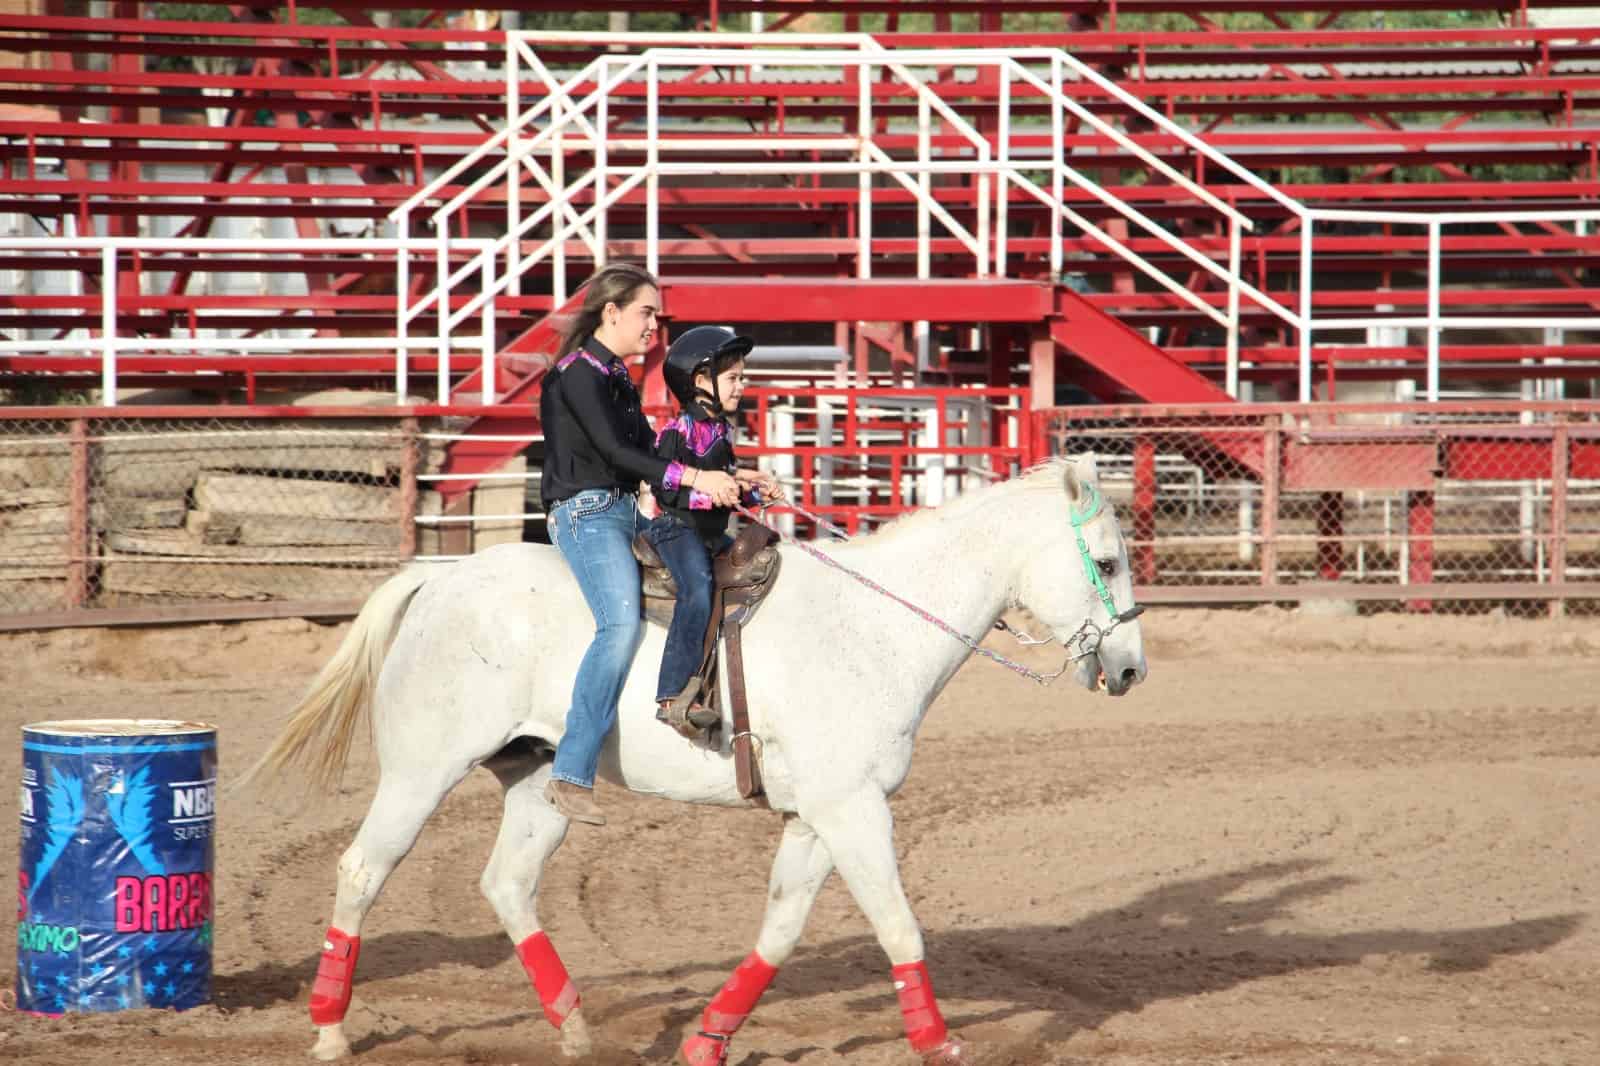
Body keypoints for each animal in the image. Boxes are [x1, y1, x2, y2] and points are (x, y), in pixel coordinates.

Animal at [249, 451, 1145, 1056]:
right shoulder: (854, 810)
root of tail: (441, 577)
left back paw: (575, 1028)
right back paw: (329, 1032)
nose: (1132, 668)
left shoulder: (816, 817)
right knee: (362, 870)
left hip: (539, 778)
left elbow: (780, 932)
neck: (872, 624)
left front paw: (706, 1040)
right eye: (1105, 561)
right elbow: (899, 928)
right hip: (419, 772)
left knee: (507, 885)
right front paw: (939, 1044)